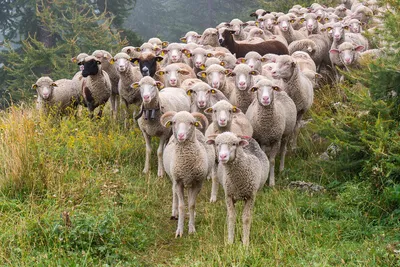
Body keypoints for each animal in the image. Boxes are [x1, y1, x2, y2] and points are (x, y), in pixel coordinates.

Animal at [160, 111, 214, 239]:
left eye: (191, 123)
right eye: (174, 122)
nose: (180, 136)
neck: (186, 163)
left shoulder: (197, 183)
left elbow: (192, 204)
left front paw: (191, 228)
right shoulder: (178, 181)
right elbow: (181, 206)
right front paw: (179, 230)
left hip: (190, 182)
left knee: (189, 198)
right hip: (174, 179)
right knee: (174, 193)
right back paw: (174, 213)